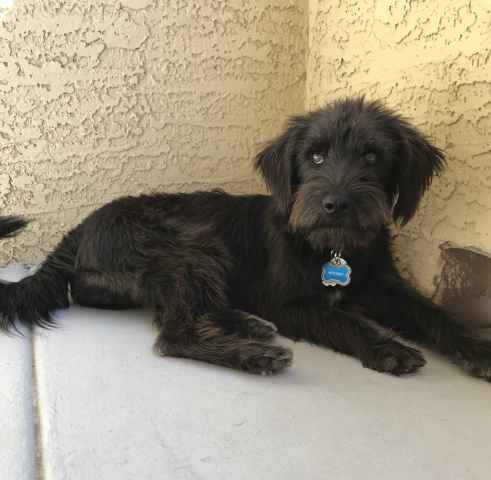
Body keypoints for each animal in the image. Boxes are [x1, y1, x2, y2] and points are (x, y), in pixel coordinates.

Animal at [0, 97, 491, 380]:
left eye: (372, 157)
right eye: (315, 156)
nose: (336, 203)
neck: (332, 247)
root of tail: (81, 227)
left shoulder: (383, 287)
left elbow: (433, 313)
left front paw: (477, 351)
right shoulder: (287, 303)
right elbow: (342, 320)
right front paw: (386, 347)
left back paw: (246, 325)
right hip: (190, 248)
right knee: (173, 336)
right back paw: (252, 354)